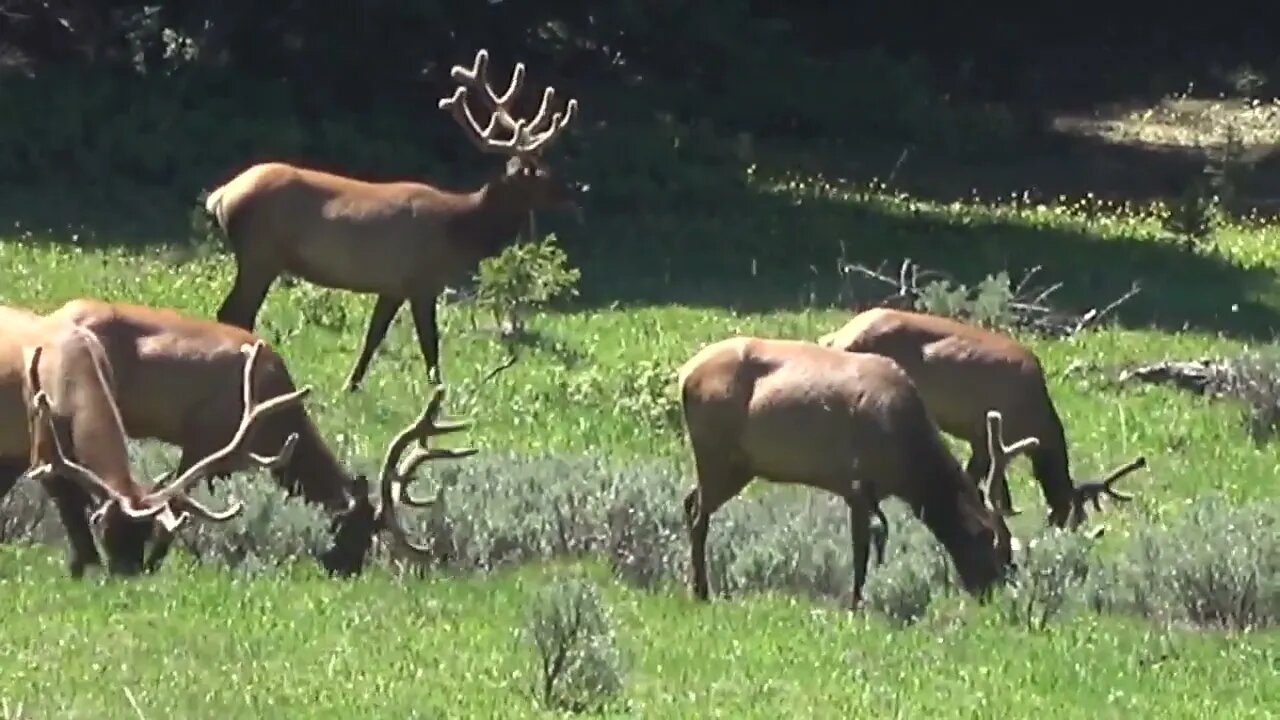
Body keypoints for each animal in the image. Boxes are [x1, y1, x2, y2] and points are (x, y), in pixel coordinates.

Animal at [17, 322, 302, 573]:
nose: (129, 574)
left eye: (147, 532)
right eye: (107, 530)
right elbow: (73, 518)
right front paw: (81, 568)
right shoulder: (45, 458)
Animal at [206, 49, 586, 392]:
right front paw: (438, 394)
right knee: (234, 312)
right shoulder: (422, 280)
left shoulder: (392, 285)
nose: (575, 190)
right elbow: (430, 344)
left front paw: (351, 385)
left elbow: (374, 335)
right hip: (260, 254)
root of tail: (221, 195)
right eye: (540, 173)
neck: (459, 231)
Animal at [675, 335, 1044, 604]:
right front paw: (857, 602)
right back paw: (700, 591)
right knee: (698, 512)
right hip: (715, 452)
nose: (993, 596)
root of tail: (684, 375)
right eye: (992, 551)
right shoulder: (855, 483)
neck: (908, 467)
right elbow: (860, 550)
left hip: (738, 465)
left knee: (689, 501)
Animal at [819, 307, 1152, 527]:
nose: (1059, 526)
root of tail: (836, 337)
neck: (1036, 416)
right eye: (1076, 515)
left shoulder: (986, 438)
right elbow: (980, 482)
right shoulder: (984, 434)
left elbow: (998, 489)